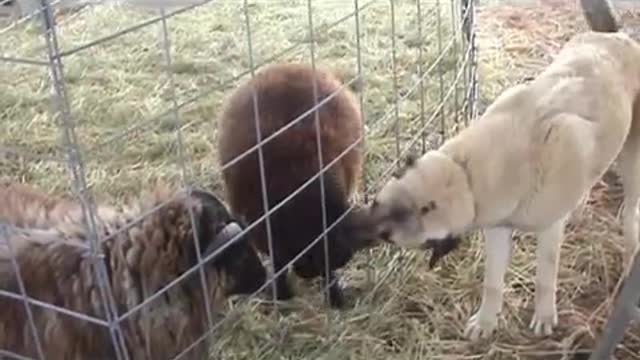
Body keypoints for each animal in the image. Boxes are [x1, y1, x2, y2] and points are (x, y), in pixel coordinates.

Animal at [368, 0, 640, 340]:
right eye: (381, 204)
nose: (373, 230)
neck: (465, 176)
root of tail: (618, 37)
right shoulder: (497, 230)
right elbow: (493, 283)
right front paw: (486, 323)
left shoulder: (548, 231)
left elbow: (545, 278)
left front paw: (544, 316)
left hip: (632, 162)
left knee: (630, 213)